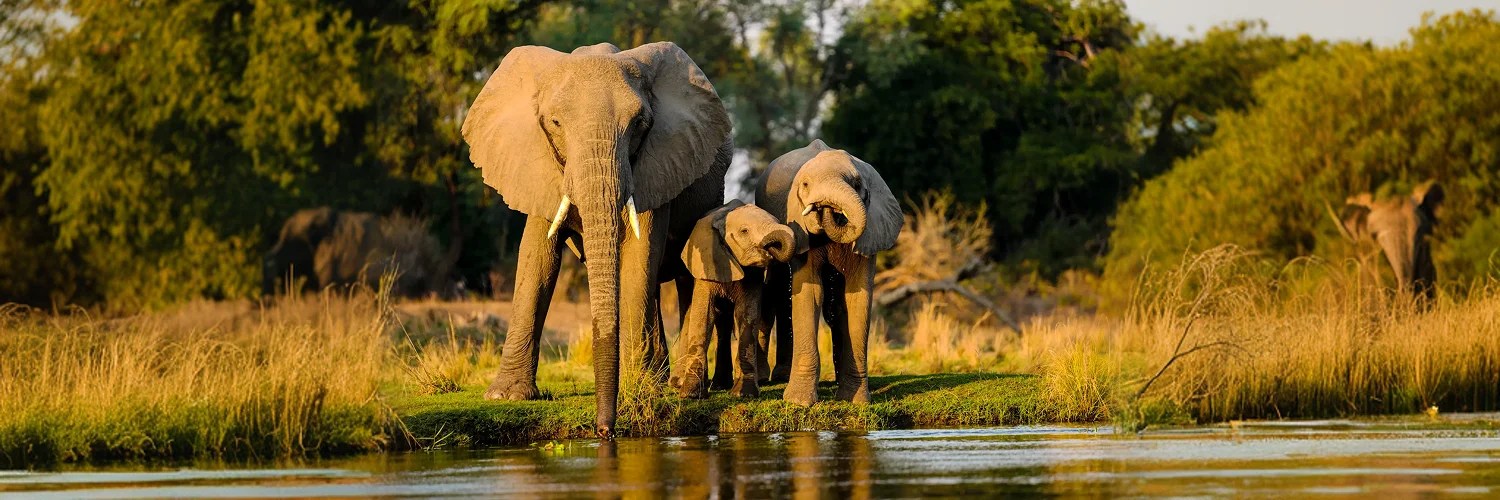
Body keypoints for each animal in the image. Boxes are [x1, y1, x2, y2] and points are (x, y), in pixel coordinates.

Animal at [460, 41, 732, 437]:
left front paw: (639, 388)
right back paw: (660, 377)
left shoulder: (655, 164)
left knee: (685, 277)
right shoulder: (537, 164)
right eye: (555, 123)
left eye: (640, 124)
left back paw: (679, 385)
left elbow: (639, 253)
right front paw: (505, 397)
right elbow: (537, 259)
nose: (604, 431)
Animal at [670, 200, 796, 399]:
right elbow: (703, 316)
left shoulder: (753, 274)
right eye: (744, 231)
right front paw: (691, 395)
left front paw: (744, 394)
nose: (772, 248)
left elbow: (747, 315)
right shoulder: (707, 262)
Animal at [754, 139, 902, 406]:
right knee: (776, 292)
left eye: (857, 184)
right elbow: (809, 293)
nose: (827, 207)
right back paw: (773, 377)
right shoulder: (800, 230)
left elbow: (857, 299)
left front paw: (855, 400)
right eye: (805, 185)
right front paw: (799, 402)